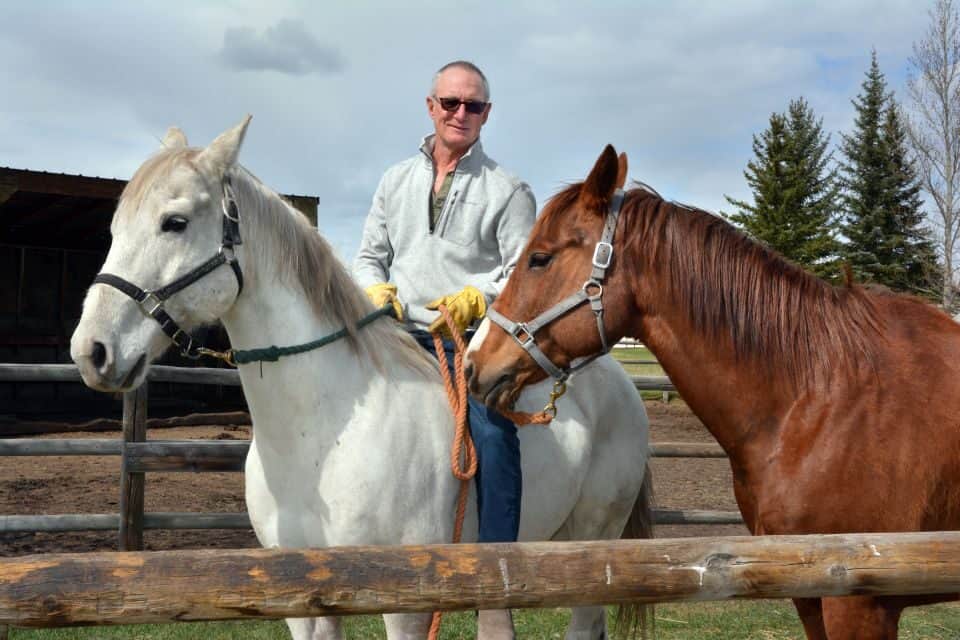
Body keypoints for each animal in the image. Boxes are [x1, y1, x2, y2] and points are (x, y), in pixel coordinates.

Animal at [67, 119, 652, 640]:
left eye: (176, 221)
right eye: (115, 229)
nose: (91, 351)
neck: (322, 438)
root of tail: (620, 385)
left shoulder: (406, 606)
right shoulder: (304, 603)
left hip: (594, 547)